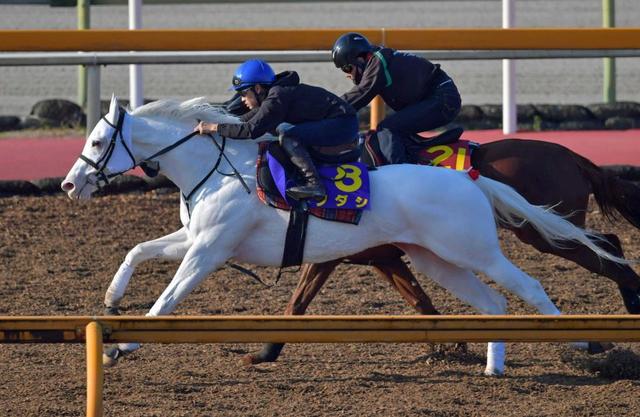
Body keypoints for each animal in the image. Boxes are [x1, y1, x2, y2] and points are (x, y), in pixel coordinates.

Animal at [244, 138, 640, 362]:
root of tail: (571, 155)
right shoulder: (382, 256)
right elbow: (418, 298)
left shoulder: (342, 253)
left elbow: (298, 302)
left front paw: (265, 351)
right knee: (608, 243)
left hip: (539, 231)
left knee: (605, 252)